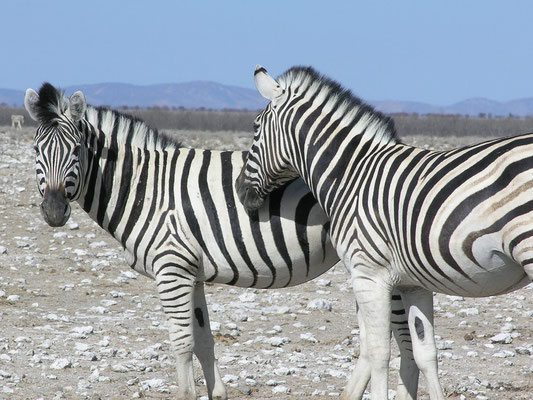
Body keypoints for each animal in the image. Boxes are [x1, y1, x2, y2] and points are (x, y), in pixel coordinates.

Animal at [25, 83, 428, 400]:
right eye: (35, 152)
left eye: (75, 150)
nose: (54, 211)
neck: (146, 187)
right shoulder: (192, 273)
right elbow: (204, 341)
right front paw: (217, 392)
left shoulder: (172, 269)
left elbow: (182, 344)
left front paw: (186, 393)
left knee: (404, 344)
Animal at [237, 65, 532, 400]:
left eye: (255, 128)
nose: (241, 193)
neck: (351, 176)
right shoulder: (414, 284)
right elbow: (425, 353)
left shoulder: (369, 275)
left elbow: (378, 353)